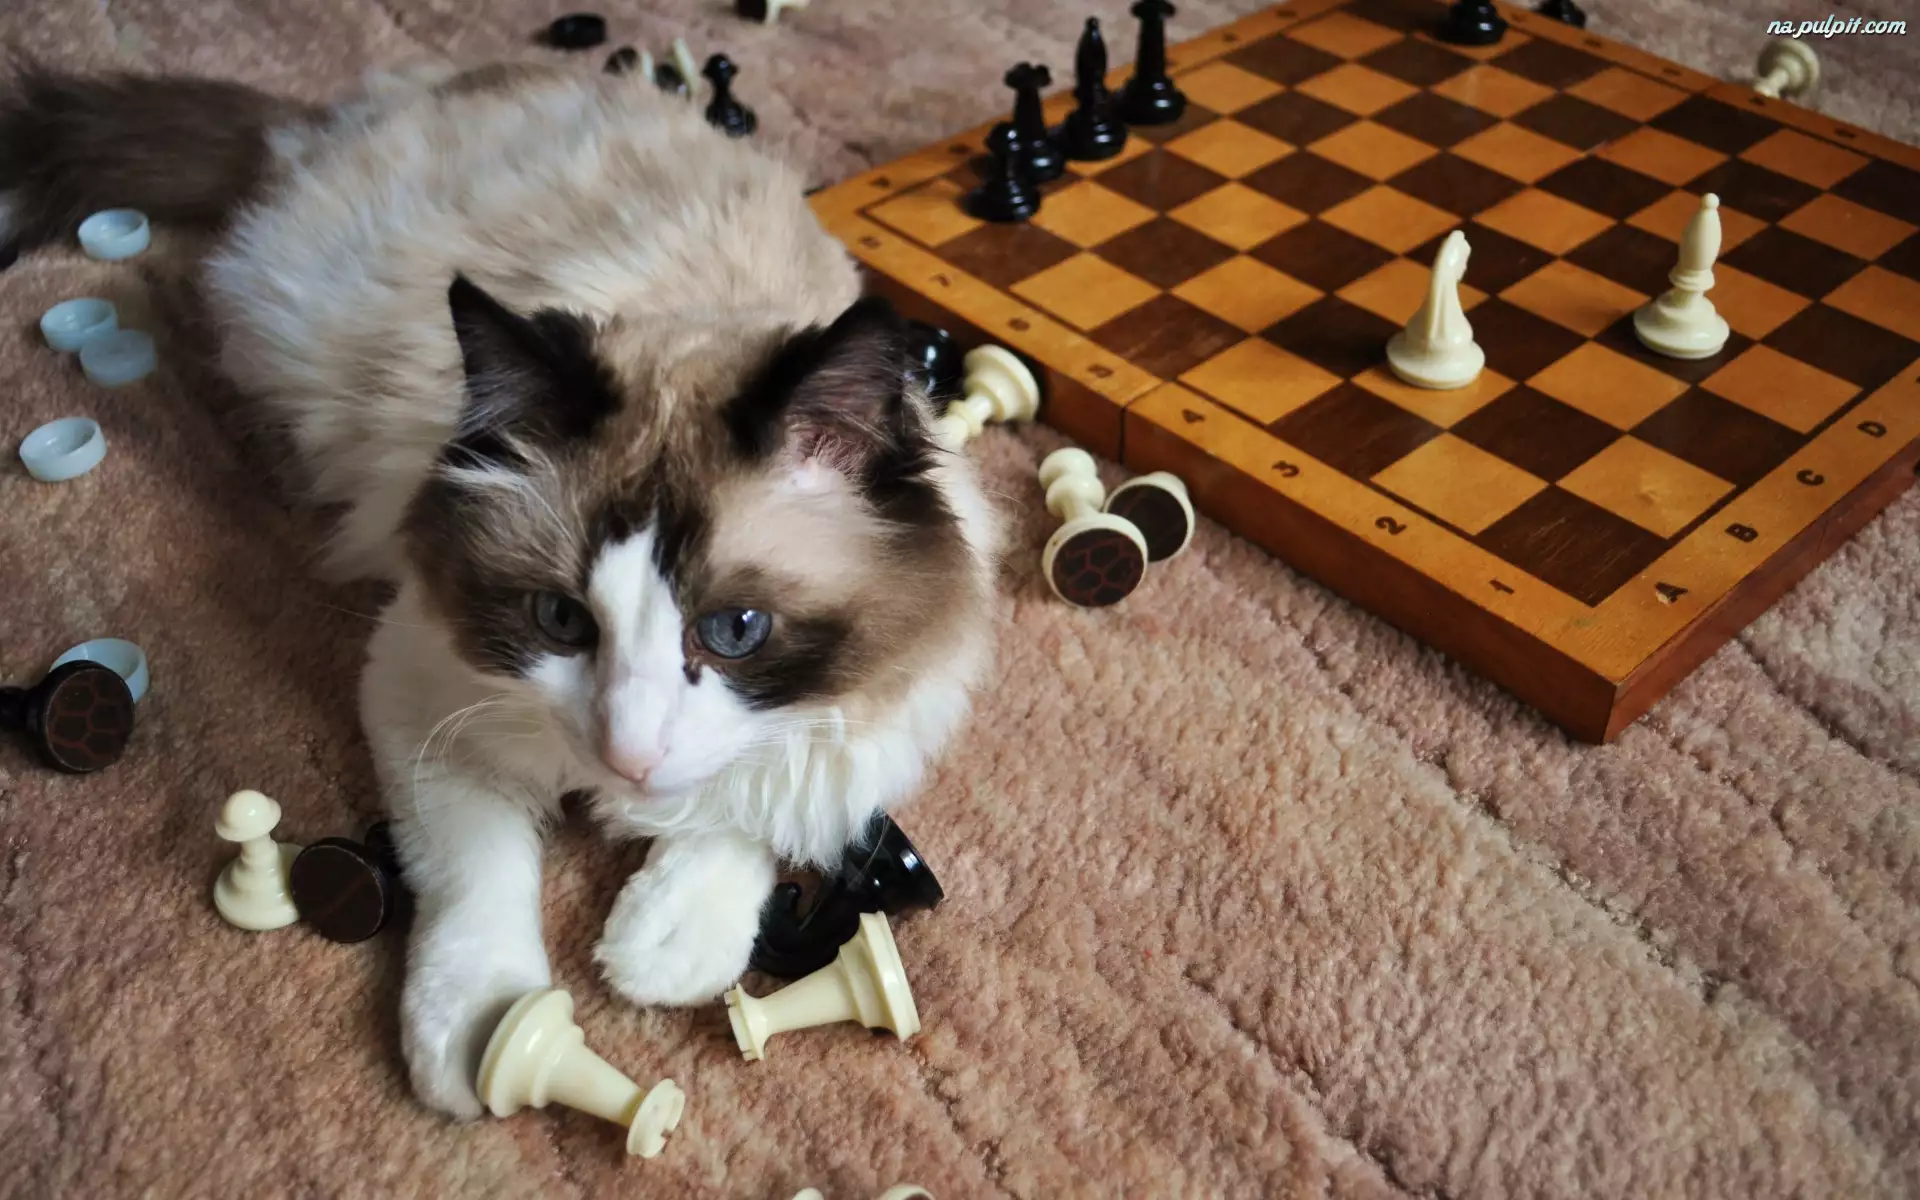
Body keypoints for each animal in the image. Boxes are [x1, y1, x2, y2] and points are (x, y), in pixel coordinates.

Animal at [0, 59, 1001, 1118]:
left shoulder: (881, 708)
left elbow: (761, 803)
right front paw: (492, 1040)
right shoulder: (422, 695)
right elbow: (478, 881)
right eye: (560, 620)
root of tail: (374, 106)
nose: (628, 757)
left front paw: (662, 947)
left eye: (735, 631)